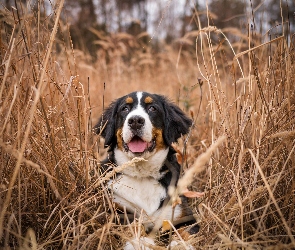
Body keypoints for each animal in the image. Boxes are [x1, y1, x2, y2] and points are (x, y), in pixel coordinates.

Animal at [96, 91, 200, 248]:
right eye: (125, 109)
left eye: (152, 108)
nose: (135, 121)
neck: (142, 174)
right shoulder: (118, 212)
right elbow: (133, 229)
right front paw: (143, 243)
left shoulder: (182, 214)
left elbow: (184, 233)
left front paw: (181, 245)